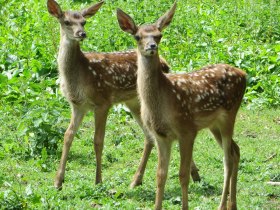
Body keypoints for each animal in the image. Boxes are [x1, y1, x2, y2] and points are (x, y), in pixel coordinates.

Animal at [46, 0, 201, 190]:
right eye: (66, 22)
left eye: (84, 22)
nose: (81, 33)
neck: (80, 74)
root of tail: (165, 63)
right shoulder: (77, 105)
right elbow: (68, 136)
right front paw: (58, 181)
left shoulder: (103, 101)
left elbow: (98, 140)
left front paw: (98, 180)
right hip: (133, 102)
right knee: (149, 136)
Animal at [117, 2, 246, 210]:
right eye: (137, 36)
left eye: (159, 35)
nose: (152, 46)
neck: (162, 102)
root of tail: (243, 74)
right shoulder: (161, 136)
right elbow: (160, 175)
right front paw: (157, 206)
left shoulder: (187, 130)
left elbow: (183, 175)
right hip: (214, 124)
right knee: (236, 151)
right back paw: (232, 204)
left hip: (230, 114)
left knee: (227, 159)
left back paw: (222, 205)